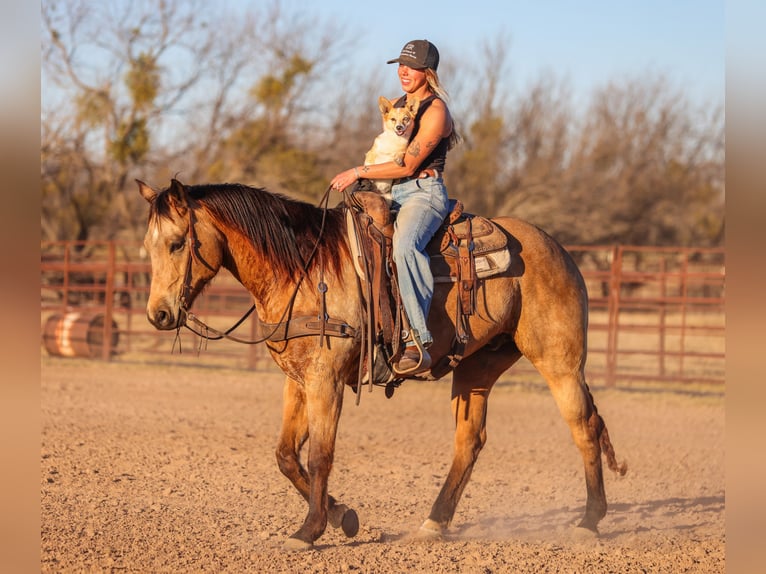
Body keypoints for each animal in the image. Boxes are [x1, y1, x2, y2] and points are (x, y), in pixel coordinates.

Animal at [137, 178, 626, 551]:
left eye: (177, 244)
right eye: (148, 246)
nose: (158, 314)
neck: (304, 271)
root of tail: (558, 248)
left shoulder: (326, 381)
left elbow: (320, 456)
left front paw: (309, 531)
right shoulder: (298, 380)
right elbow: (285, 456)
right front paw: (342, 516)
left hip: (559, 361)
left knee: (583, 426)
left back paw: (589, 521)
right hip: (478, 367)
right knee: (469, 442)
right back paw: (434, 523)